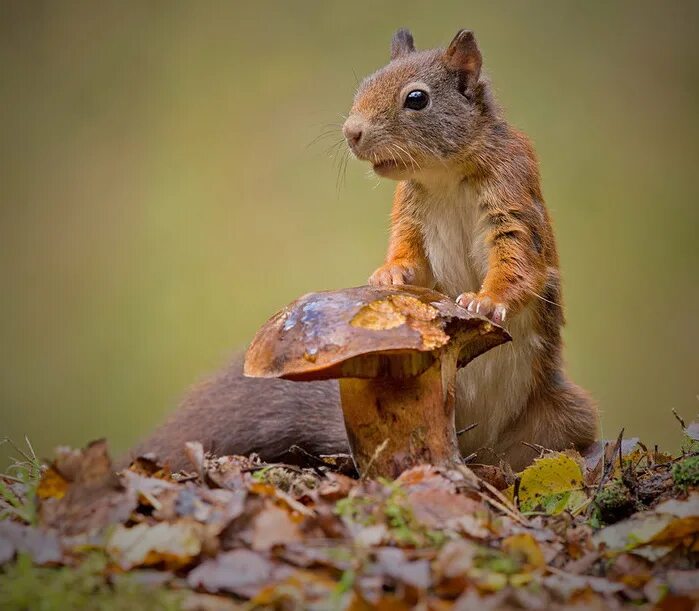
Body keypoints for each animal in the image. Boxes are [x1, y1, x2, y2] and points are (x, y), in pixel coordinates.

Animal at [134, 28, 600, 474]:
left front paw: (486, 300)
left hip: (563, 417)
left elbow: (519, 261)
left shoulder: (513, 195)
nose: (351, 132)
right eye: (365, 85)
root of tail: (479, 446)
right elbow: (409, 254)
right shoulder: (409, 216)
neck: (445, 175)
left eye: (417, 99)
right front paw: (390, 274)